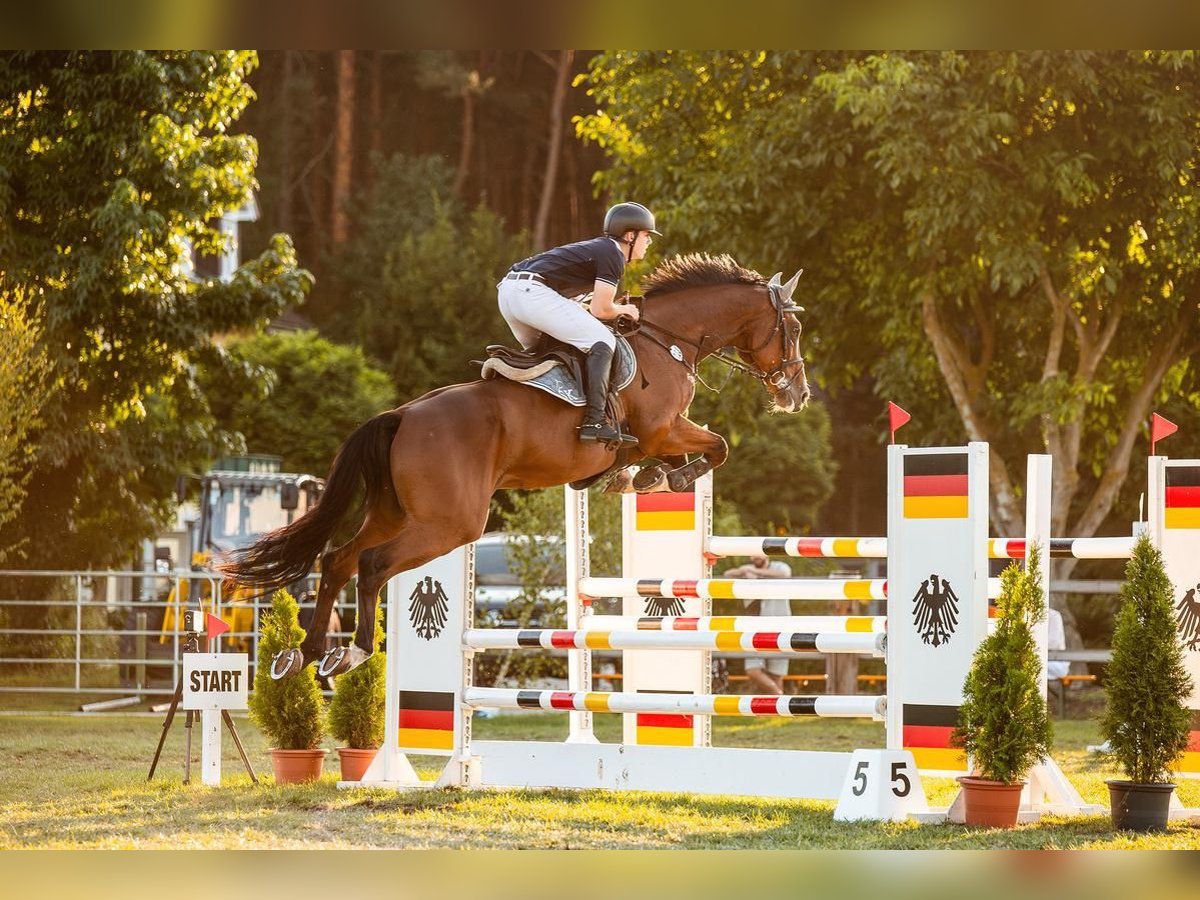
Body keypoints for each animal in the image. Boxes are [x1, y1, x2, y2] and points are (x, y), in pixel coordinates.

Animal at [220, 253, 810, 679]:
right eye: (794, 330)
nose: (797, 394)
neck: (669, 340)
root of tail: (402, 415)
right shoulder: (662, 428)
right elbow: (717, 446)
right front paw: (667, 477)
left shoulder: (662, 435)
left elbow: (690, 454)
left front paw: (640, 477)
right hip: (451, 523)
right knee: (371, 566)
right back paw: (354, 653)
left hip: (396, 513)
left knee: (337, 561)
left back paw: (305, 654)